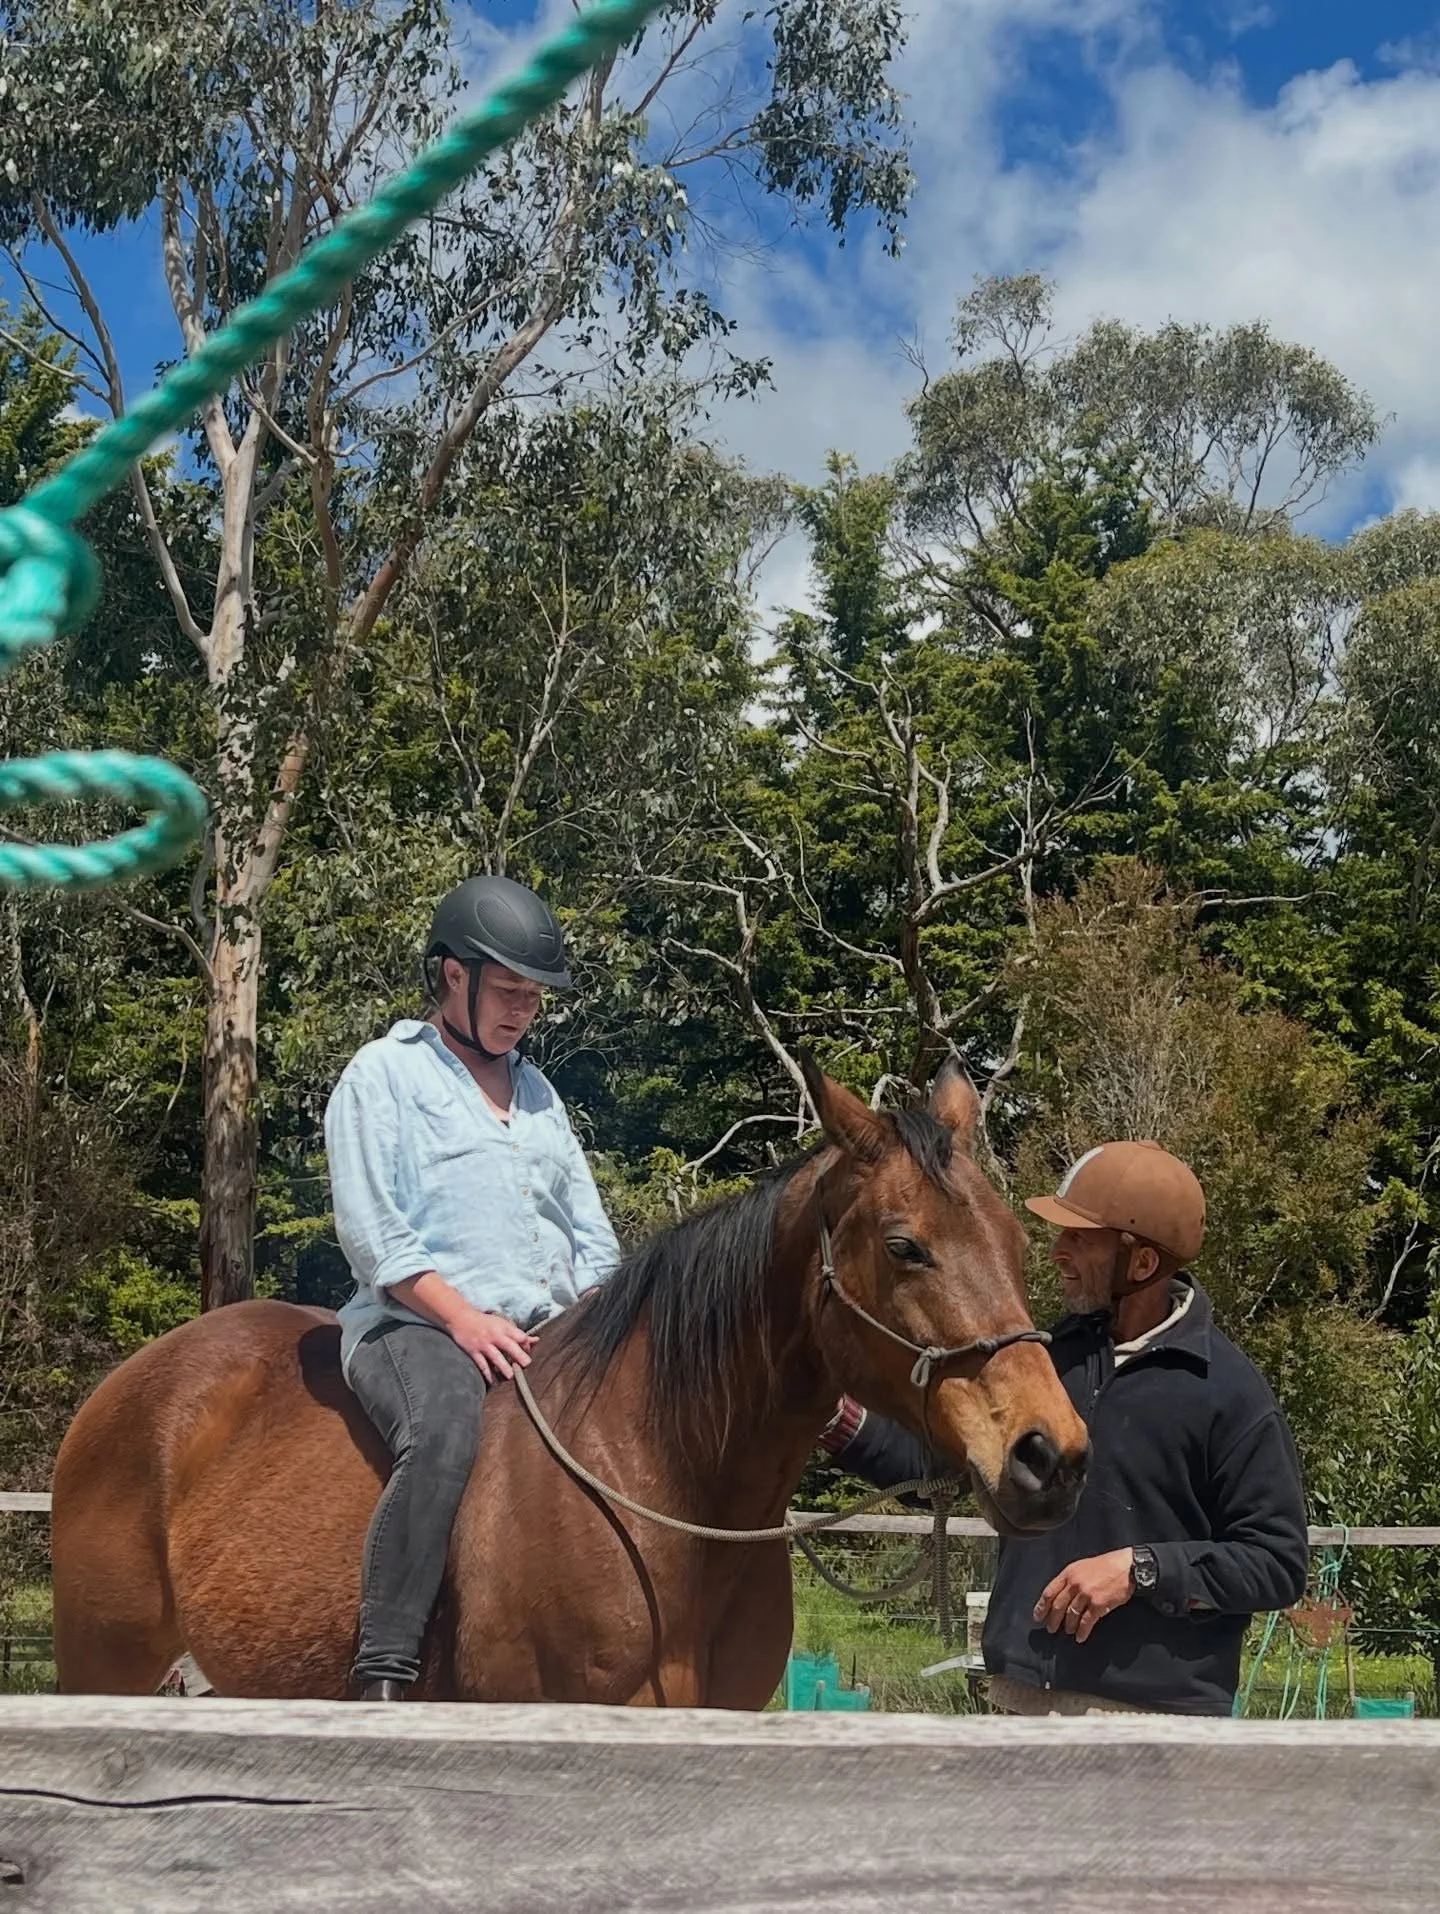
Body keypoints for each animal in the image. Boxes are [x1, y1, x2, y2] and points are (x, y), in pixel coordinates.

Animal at [50, 1057, 1089, 1707]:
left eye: (1011, 1238)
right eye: (905, 1246)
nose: (1051, 1456)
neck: (656, 1476)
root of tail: (129, 1390)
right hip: (105, 1664)